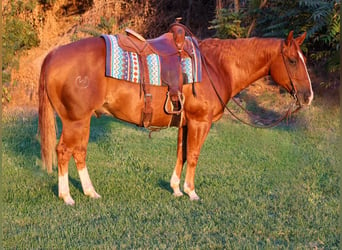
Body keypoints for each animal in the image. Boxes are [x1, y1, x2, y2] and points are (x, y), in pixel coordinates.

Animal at [38, 30, 312, 204]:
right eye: (291, 60)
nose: (308, 96)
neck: (216, 66)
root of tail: (53, 55)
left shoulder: (185, 123)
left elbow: (181, 154)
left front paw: (176, 189)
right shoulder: (201, 122)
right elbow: (194, 155)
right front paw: (191, 192)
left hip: (82, 122)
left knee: (79, 152)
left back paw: (90, 192)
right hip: (76, 121)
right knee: (64, 151)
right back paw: (67, 196)